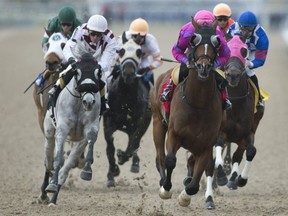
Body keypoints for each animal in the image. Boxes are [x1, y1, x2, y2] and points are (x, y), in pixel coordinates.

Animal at [103, 38, 153, 187]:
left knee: (134, 143)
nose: (129, 73)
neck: (126, 98)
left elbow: (133, 144)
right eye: (121, 51)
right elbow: (110, 146)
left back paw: (135, 163)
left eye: (139, 52)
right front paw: (112, 172)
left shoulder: (139, 122)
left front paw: (121, 156)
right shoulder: (109, 119)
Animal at [151, 18, 223, 209]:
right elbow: (170, 160)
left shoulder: (206, 145)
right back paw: (162, 181)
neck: (198, 104)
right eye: (193, 41)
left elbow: (196, 181)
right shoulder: (174, 134)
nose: (204, 67)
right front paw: (166, 189)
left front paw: (185, 196)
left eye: (216, 42)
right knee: (160, 157)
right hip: (157, 123)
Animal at [214, 35, 266, 189]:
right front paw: (221, 176)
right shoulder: (221, 132)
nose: (233, 75)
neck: (235, 103)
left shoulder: (247, 133)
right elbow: (218, 145)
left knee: (238, 155)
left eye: (244, 52)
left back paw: (233, 178)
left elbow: (251, 151)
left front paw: (241, 179)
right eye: (227, 50)